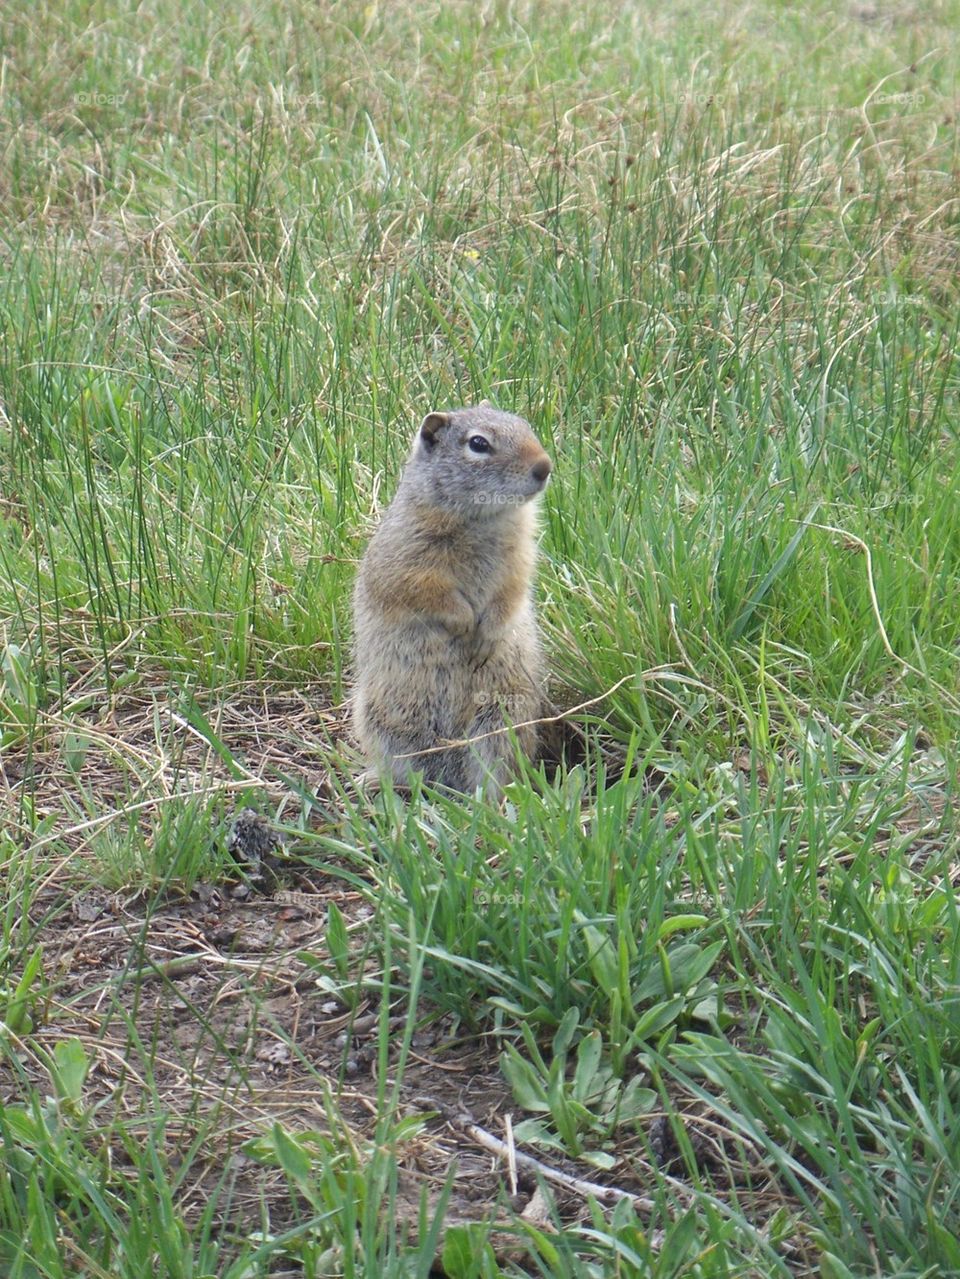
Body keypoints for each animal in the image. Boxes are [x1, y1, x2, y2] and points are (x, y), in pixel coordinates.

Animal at [352, 404, 552, 792]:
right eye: (478, 444)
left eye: (524, 425)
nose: (544, 466)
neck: (484, 520)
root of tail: (447, 777)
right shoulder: (407, 558)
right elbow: (427, 592)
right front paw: (462, 622)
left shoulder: (520, 558)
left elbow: (512, 592)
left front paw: (487, 634)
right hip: (379, 721)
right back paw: (375, 780)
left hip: (501, 719)